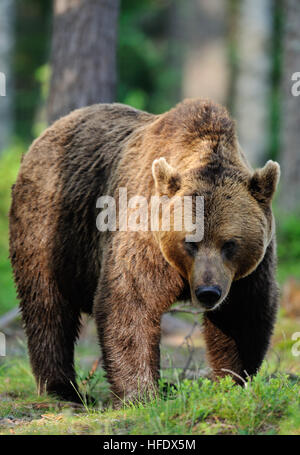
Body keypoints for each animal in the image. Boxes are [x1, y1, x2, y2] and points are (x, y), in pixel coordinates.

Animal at [9, 100, 282, 406]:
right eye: (190, 242)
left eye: (229, 243)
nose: (208, 292)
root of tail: (45, 134)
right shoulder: (146, 234)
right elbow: (130, 301)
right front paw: (139, 394)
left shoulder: (248, 270)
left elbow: (241, 315)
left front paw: (233, 382)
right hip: (49, 226)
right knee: (47, 305)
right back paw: (62, 388)